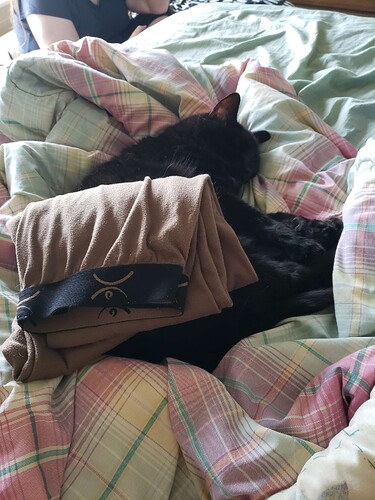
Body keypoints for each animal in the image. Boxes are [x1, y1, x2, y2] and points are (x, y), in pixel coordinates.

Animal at [80, 94, 344, 372]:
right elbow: (266, 221)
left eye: (248, 172)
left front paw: (323, 227)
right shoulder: (220, 196)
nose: (237, 179)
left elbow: (280, 217)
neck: (178, 143)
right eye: (232, 152)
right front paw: (306, 243)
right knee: (296, 276)